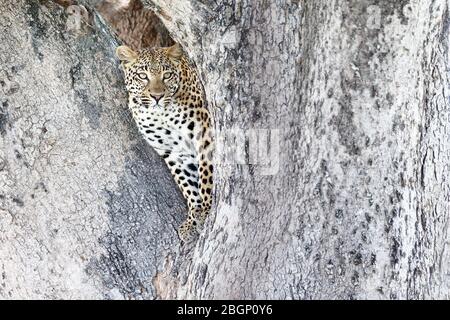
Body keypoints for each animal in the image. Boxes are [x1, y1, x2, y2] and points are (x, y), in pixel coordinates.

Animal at [116, 43, 214, 242]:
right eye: (142, 75)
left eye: (167, 75)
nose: (157, 96)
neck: (160, 114)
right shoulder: (173, 152)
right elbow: (188, 185)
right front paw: (193, 217)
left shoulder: (203, 132)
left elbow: (205, 175)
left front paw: (207, 208)